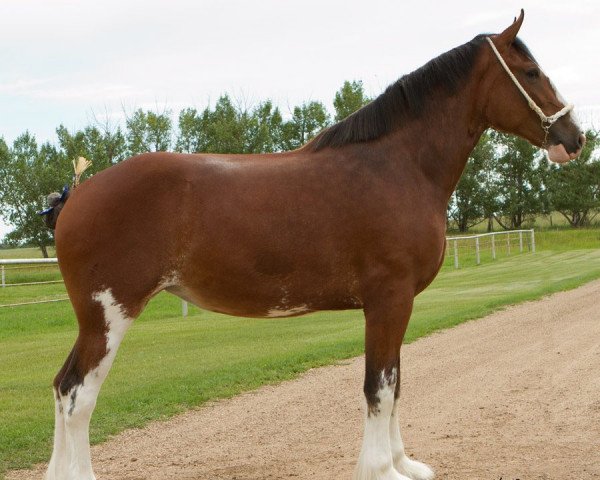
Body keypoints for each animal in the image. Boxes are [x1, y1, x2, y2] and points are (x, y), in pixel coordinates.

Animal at [43, 11, 584, 480]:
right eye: (531, 72)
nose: (573, 138)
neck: (399, 166)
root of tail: (77, 195)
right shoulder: (389, 299)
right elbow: (379, 388)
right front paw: (381, 470)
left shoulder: (397, 305)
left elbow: (397, 383)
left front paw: (405, 464)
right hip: (109, 315)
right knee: (77, 395)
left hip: (95, 320)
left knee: (61, 387)